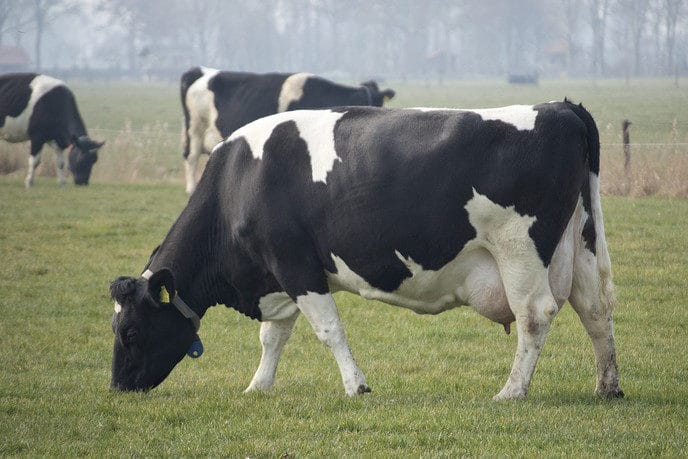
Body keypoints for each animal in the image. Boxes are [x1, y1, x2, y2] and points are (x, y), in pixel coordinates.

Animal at [109, 100, 623, 401]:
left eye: (130, 332)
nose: (118, 387)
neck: (239, 181)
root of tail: (559, 107)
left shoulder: (296, 266)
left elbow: (328, 331)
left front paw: (356, 386)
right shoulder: (277, 277)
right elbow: (273, 337)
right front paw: (258, 386)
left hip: (519, 247)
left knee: (535, 314)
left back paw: (511, 392)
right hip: (581, 242)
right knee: (595, 310)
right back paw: (607, 386)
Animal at [180, 66, 395, 194]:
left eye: (379, 101)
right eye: (373, 102)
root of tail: (200, 71)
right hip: (195, 128)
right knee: (191, 158)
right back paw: (190, 189)